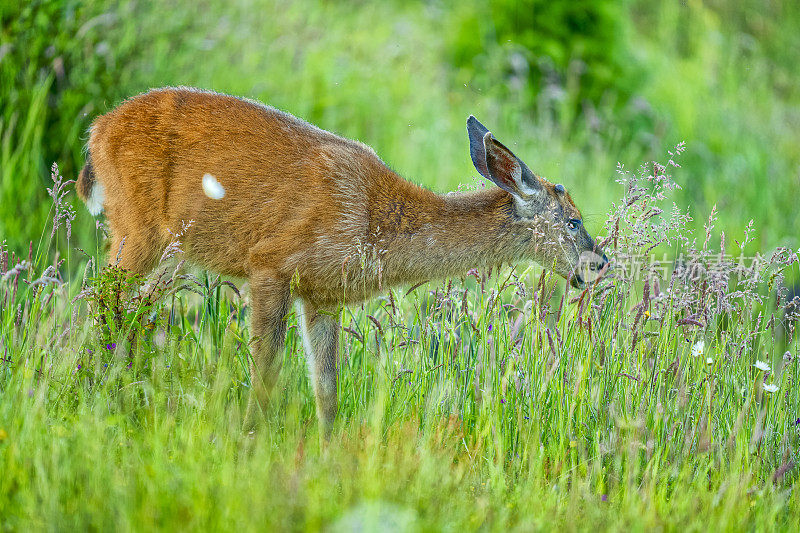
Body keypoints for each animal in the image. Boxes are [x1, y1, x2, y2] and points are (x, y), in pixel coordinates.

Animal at [78, 87, 608, 436]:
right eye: (574, 220)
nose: (600, 263)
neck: (376, 226)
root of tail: (96, 130)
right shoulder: (269, 264)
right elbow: (267, 371)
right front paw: (249, 439)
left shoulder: (323, 296)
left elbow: (327, 388)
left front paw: (327, 453)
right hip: (138, 229)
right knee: (96, 300)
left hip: (172, 255)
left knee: (127, 311)